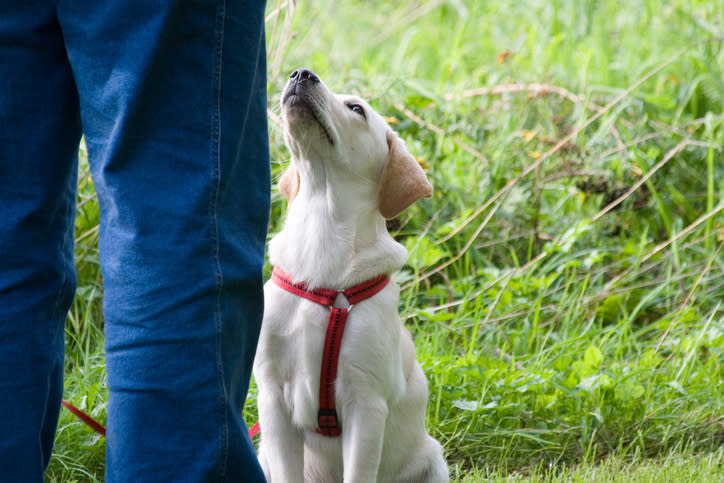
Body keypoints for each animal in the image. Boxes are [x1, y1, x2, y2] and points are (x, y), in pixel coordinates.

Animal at [253, 69, 446, 483]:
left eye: (356, 109)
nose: (301, 73)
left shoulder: (366, 403)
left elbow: (358, 472)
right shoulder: (272, 396)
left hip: (434, 459)